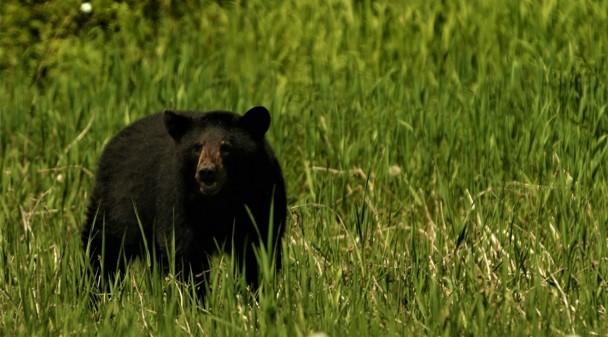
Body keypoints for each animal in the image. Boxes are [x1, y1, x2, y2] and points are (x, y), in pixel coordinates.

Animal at [81, 106, 288, 296]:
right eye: (197, 146)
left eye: (226, 147)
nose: (206, 172)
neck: (219, 201)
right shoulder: (178, 198)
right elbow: (185, 251)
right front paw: (197, 299)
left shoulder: (263, 196)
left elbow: (259, 247)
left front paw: (256, 293)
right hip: (117, 203)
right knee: (104, 247)